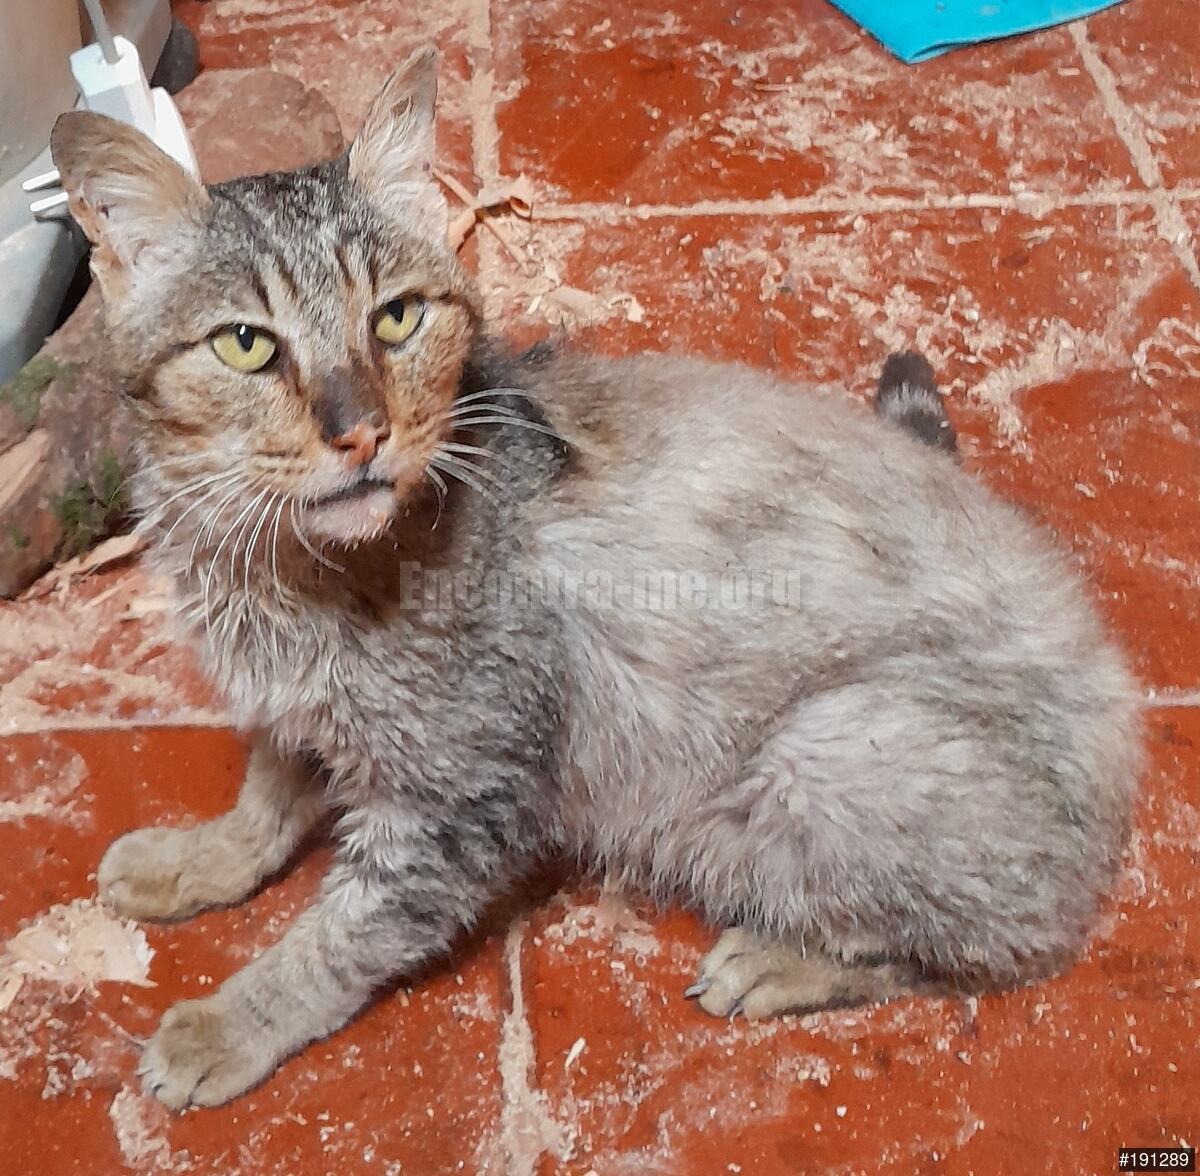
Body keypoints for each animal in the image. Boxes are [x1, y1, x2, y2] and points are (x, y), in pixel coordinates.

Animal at [50, 47, 1143, 1110]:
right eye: (246, 344)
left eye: (395, 319)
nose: (359, 430)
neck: (278, 568)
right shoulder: (293, 706)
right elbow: (268, 797)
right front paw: (200, 859)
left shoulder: (458, 802)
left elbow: (339, 936)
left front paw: (230, 1021)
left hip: (817, 760)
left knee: (993, 947)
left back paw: (777, 960)